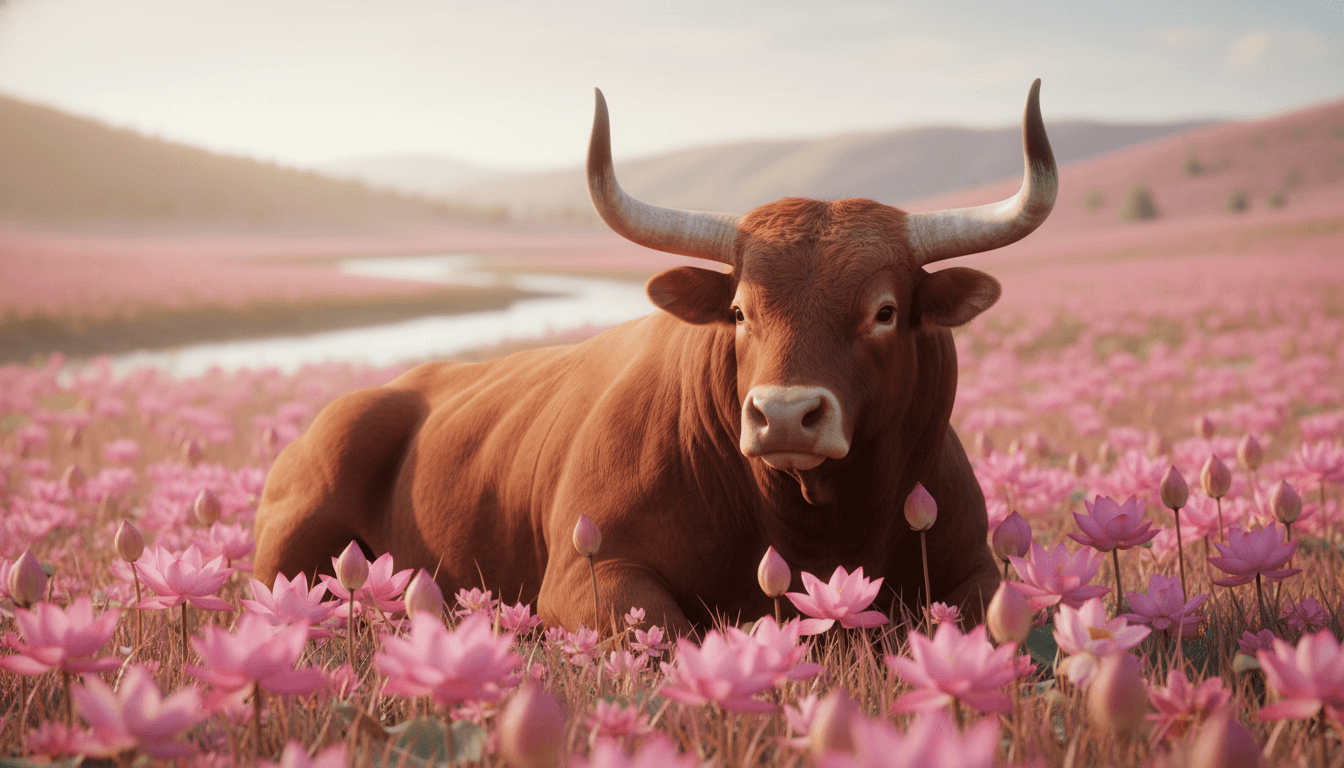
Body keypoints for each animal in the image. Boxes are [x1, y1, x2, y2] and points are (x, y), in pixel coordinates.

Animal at [253, 80, 1057, 636]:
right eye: (740, 311)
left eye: (884, 312)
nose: (785, 416)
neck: (815, 520)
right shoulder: (588, 577)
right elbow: (669, 635)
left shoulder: (975, 566)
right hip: (289, 551)